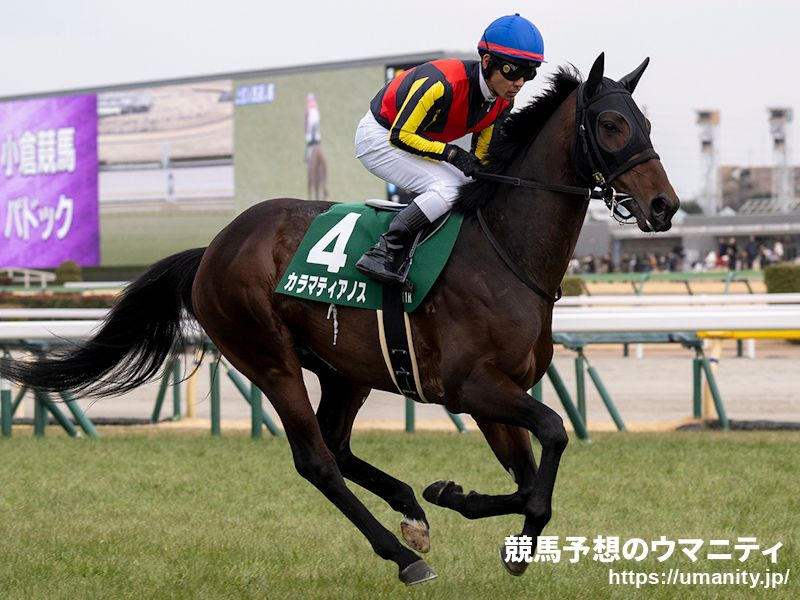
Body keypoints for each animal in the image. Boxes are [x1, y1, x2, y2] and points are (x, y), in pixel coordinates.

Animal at [0, 54, 678, 585]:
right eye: (611, 124)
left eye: (647, 123)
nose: (664, 206)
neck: (502, 250)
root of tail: (214, 247)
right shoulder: (470, 387)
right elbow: (555, 437)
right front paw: (490, 522)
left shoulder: (499, 392)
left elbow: (530, 471)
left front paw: (459, 504)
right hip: (269, 358)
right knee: (316, 460)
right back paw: (402, 556)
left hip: (344, 369)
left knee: (337, 442)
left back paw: (411, 512)